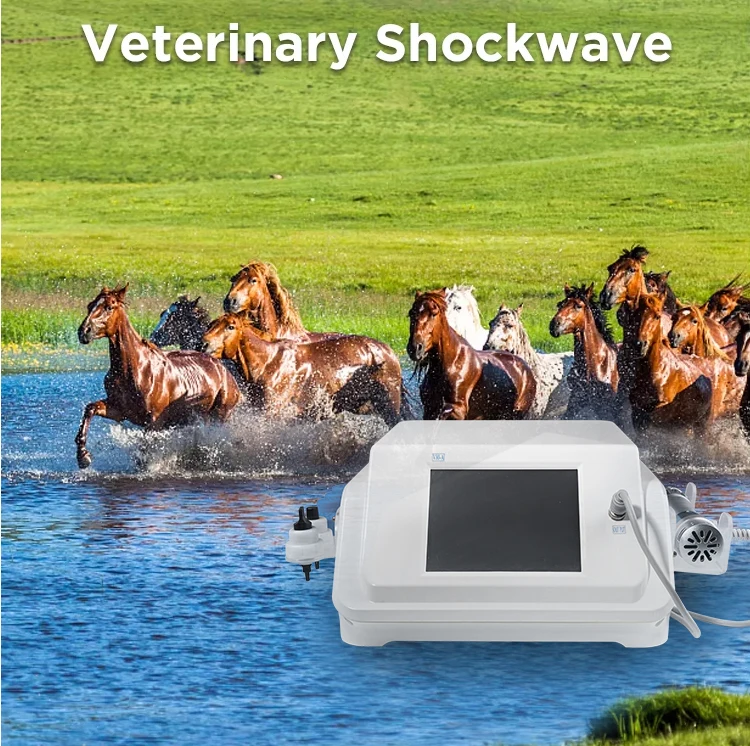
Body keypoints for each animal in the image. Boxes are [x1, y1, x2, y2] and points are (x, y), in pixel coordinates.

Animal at [75, 286, 242, 469]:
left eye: (109, 307)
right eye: (90, 305)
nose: (83, 332)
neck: (134, 369)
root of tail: (225, 372)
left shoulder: (154, 421)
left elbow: (146, 450)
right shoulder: (120, 411)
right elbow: (90, 409)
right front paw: (83, 456)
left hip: (221, 415)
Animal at [202, 313, 404, 425]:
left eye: (230, 326)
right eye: (211, 324)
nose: (204, 343)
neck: (268, 364)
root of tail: (388, 351)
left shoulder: (272, 413)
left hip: (390, 405)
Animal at [407, 290, 536, 420]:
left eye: (434, 314)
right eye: (411, 313)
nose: (415, 348)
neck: (450, 363)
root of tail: (525, 367)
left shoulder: (457, 410)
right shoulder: (429, 409)